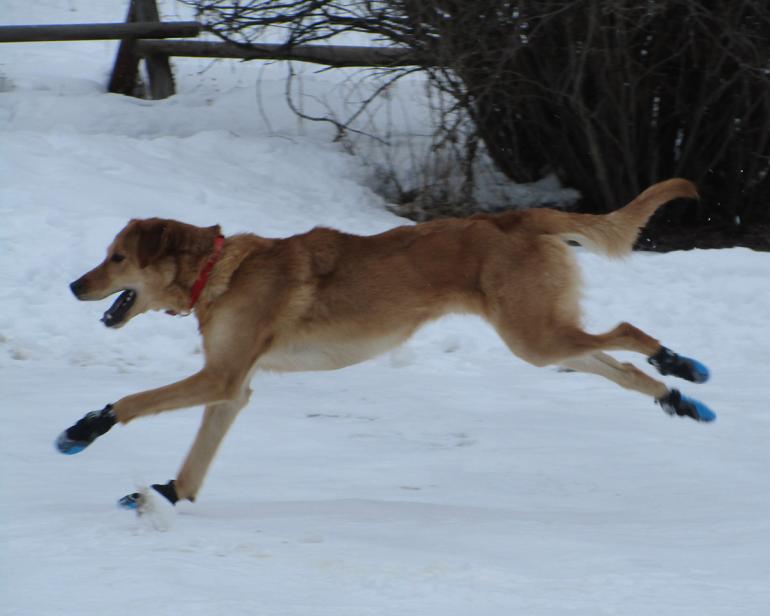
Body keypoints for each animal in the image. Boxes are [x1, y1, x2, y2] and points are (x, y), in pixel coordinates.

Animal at [57, 177, 712, 506]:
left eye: (116, 258)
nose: (72, 285)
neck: (217, 270)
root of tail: (515, 216)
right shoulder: (231, 387)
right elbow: (196, 462)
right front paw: (170, 494)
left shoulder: (219, 376)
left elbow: (137, 401)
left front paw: (84, 428)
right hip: (544, 336)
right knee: (615, 366)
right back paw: (679, 397)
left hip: (536, 335)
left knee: (626, 333)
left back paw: (679, 363)